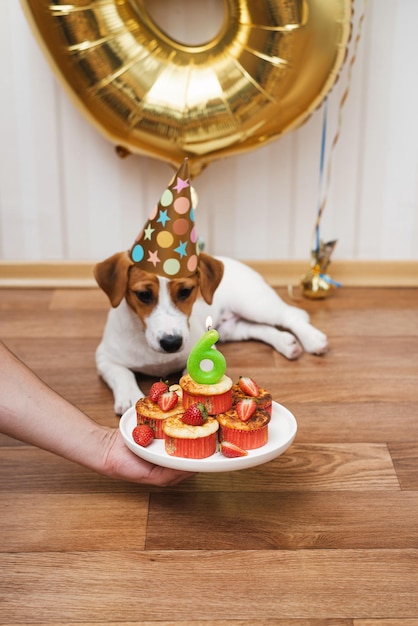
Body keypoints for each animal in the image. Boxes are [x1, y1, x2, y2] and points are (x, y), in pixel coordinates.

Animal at [94, 249, 326, 414]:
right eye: (143, 294)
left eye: (186, 291)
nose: (172, 343)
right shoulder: (105, 357)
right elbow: (122, 373)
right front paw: (130, 397)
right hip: (232, 328)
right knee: (259, 328)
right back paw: (286, 343)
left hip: (254, 305)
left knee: (291, 315)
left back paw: (312, 339)